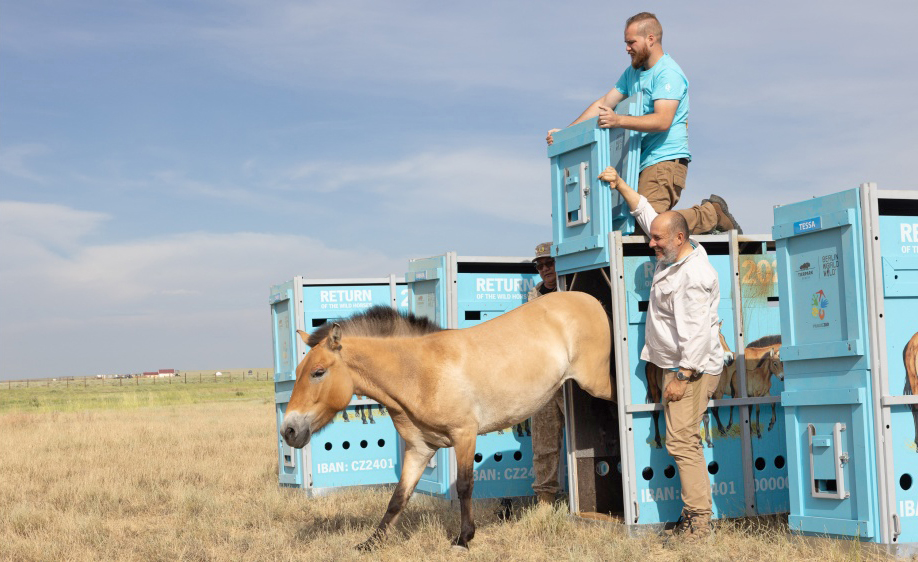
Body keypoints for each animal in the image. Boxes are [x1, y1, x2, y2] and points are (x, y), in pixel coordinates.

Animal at [276, 288, 616, 548]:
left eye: (318, 372)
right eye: (299, 371)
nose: (289, 430)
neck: (419, 372)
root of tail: (589, 300)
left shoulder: (464, 434)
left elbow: (464, 486)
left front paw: (464, 538)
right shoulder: (419, 449)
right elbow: (399, 497)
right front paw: (371, 543)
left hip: (598, 383)